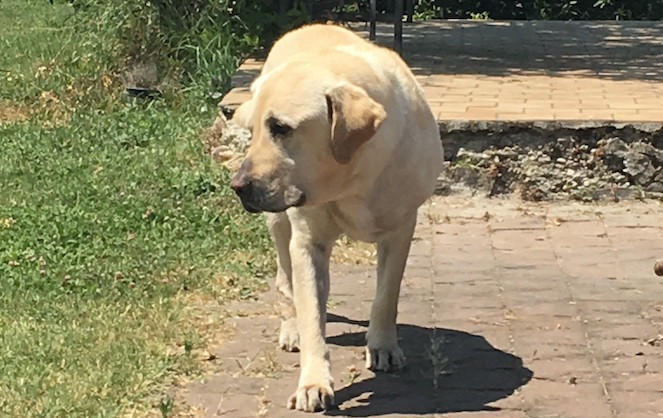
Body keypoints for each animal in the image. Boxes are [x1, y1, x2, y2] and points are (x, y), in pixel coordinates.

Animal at [231, 23, 444, 412]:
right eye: (255, 131)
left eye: (280, 127)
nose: (237, 185)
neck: (352, 178)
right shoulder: (307, 243)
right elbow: (312, 316)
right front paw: (313, 382)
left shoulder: (402, 229)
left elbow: (386, 295)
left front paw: (383, 346)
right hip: (278, 224)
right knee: (286, 282)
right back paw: (292, 327)